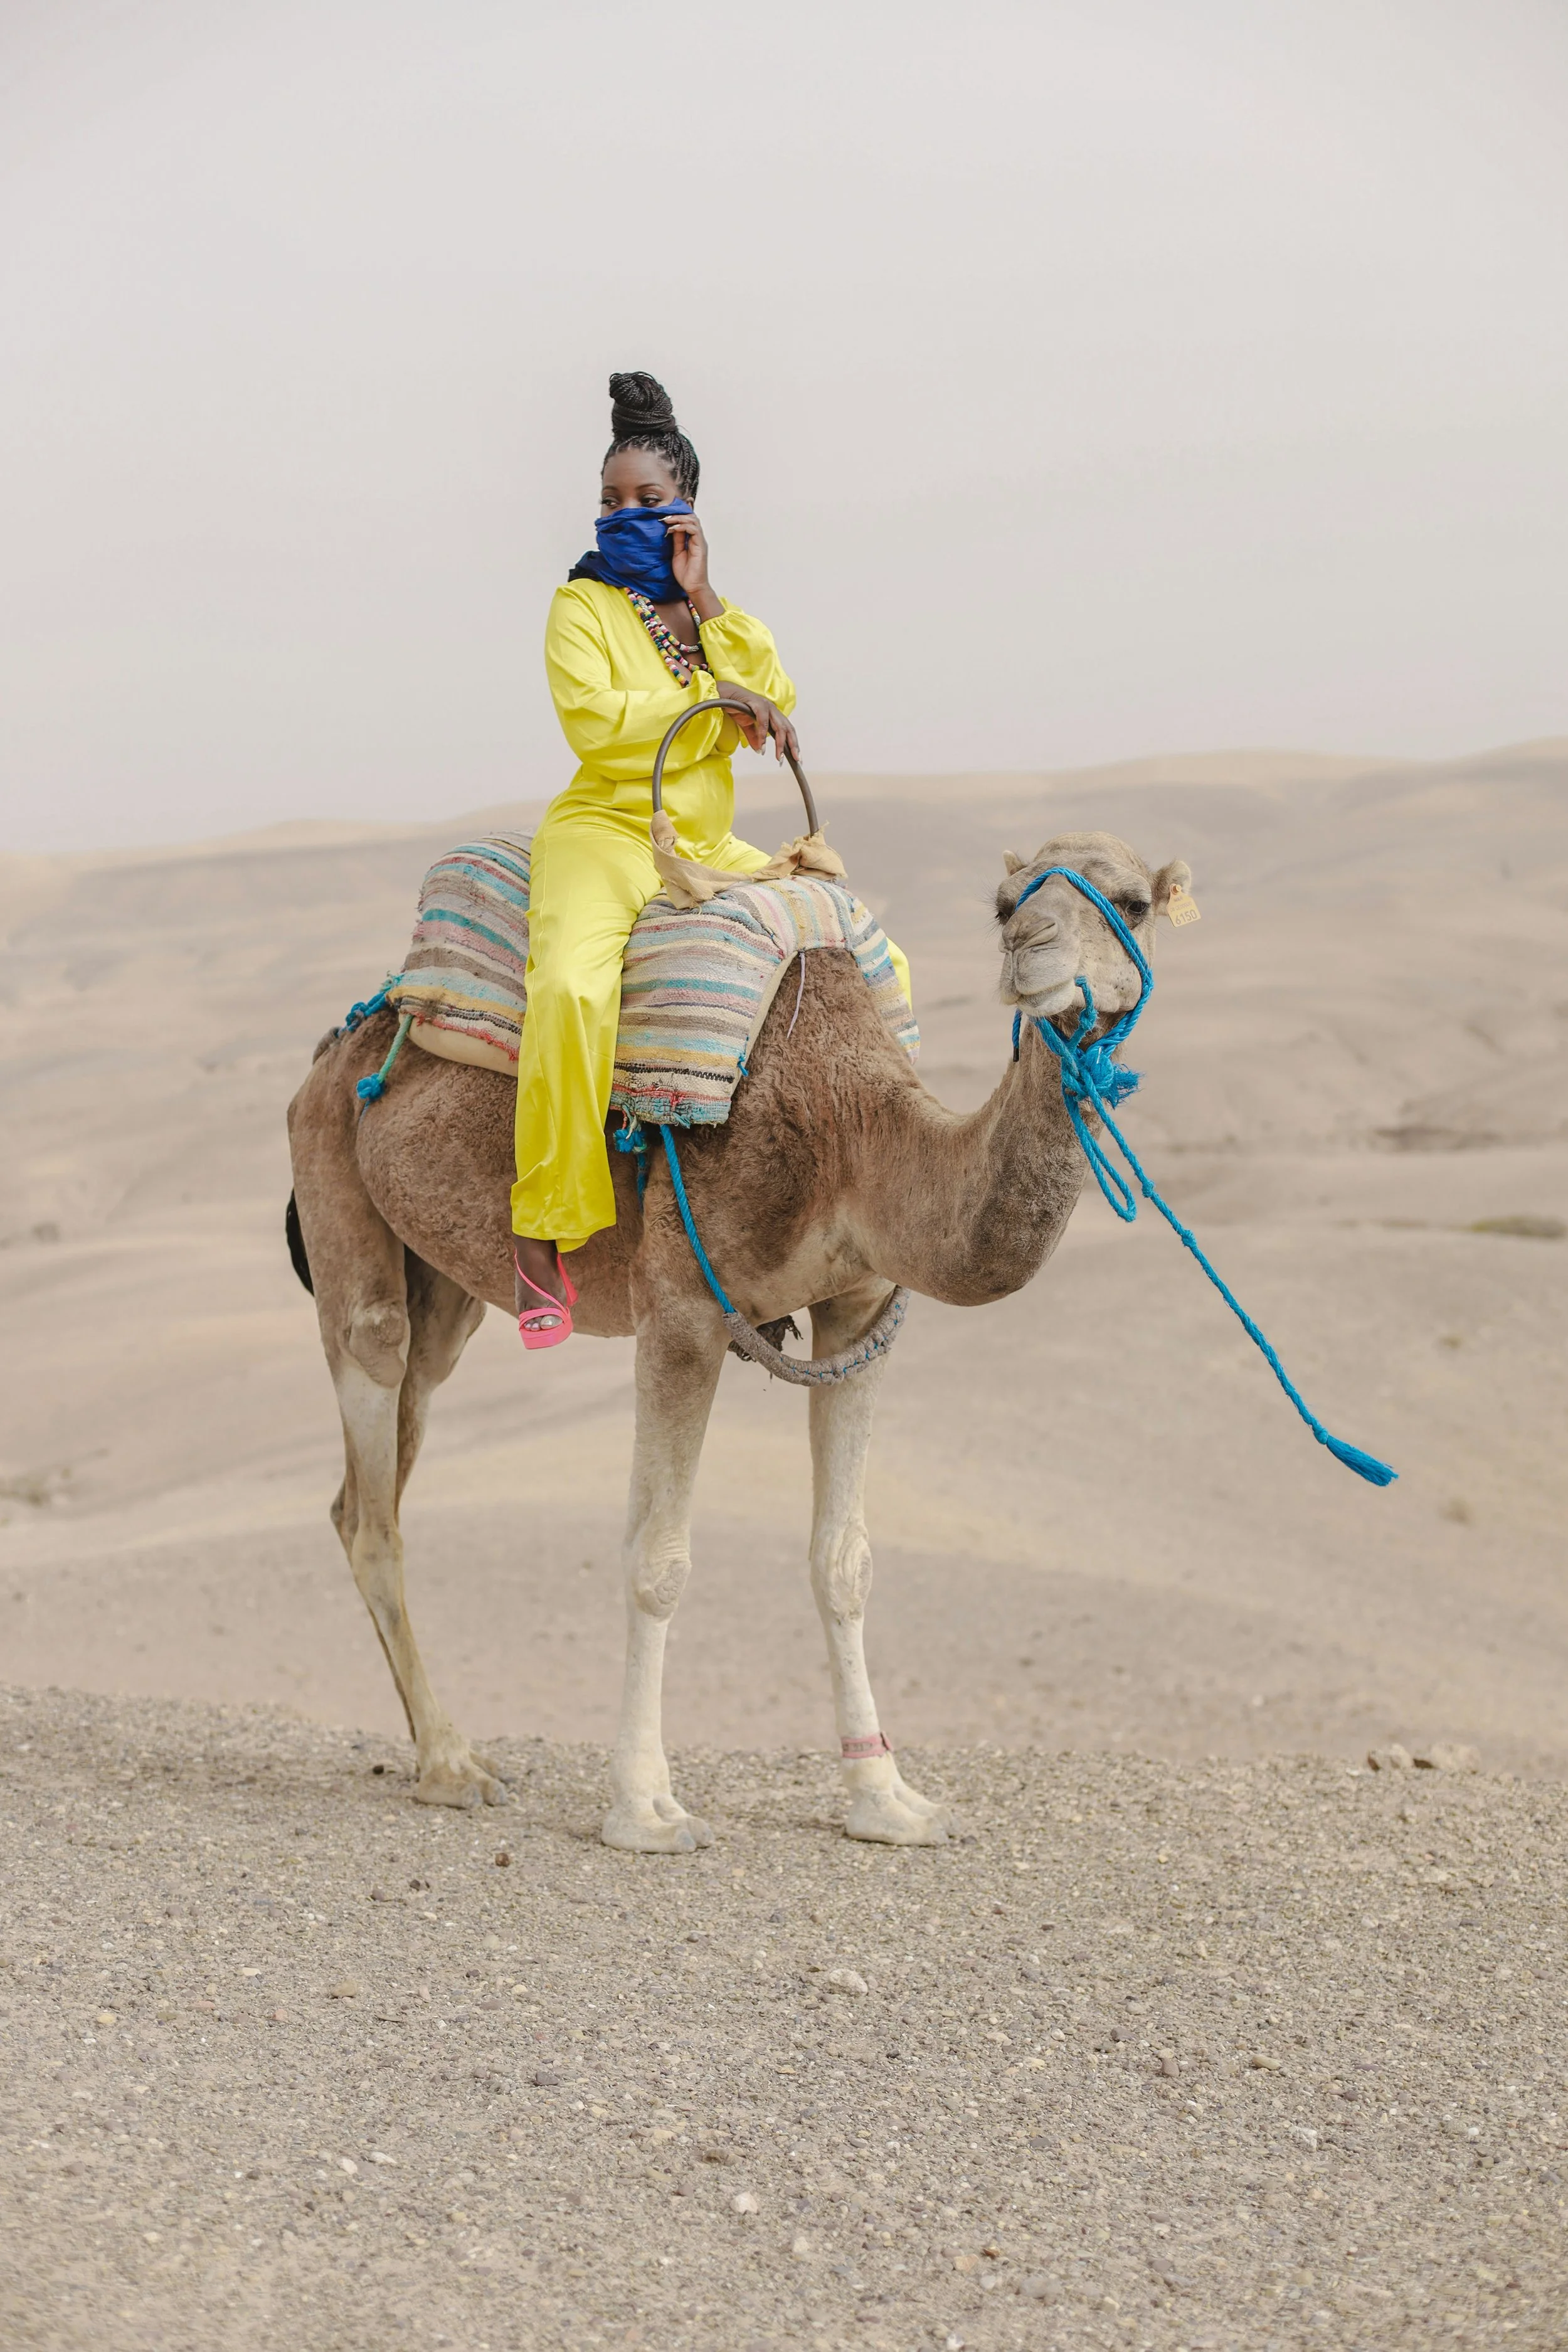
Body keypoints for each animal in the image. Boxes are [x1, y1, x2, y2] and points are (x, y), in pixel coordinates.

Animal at [285, 829, 1190, 1850]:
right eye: (1004, 904)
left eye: (1132, 901)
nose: (1032, 950)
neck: (852, 1137)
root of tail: (339, 1046)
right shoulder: (681, 1309)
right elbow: (658, 1560)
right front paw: (645, 1808)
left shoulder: (858, 1304)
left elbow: (843, 1560)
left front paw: (886, 1798)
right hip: (336, 1185)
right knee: (373, 1451)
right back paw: (449, 1763)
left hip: (443, 1286)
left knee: (379, 1458)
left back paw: (436, 1751)